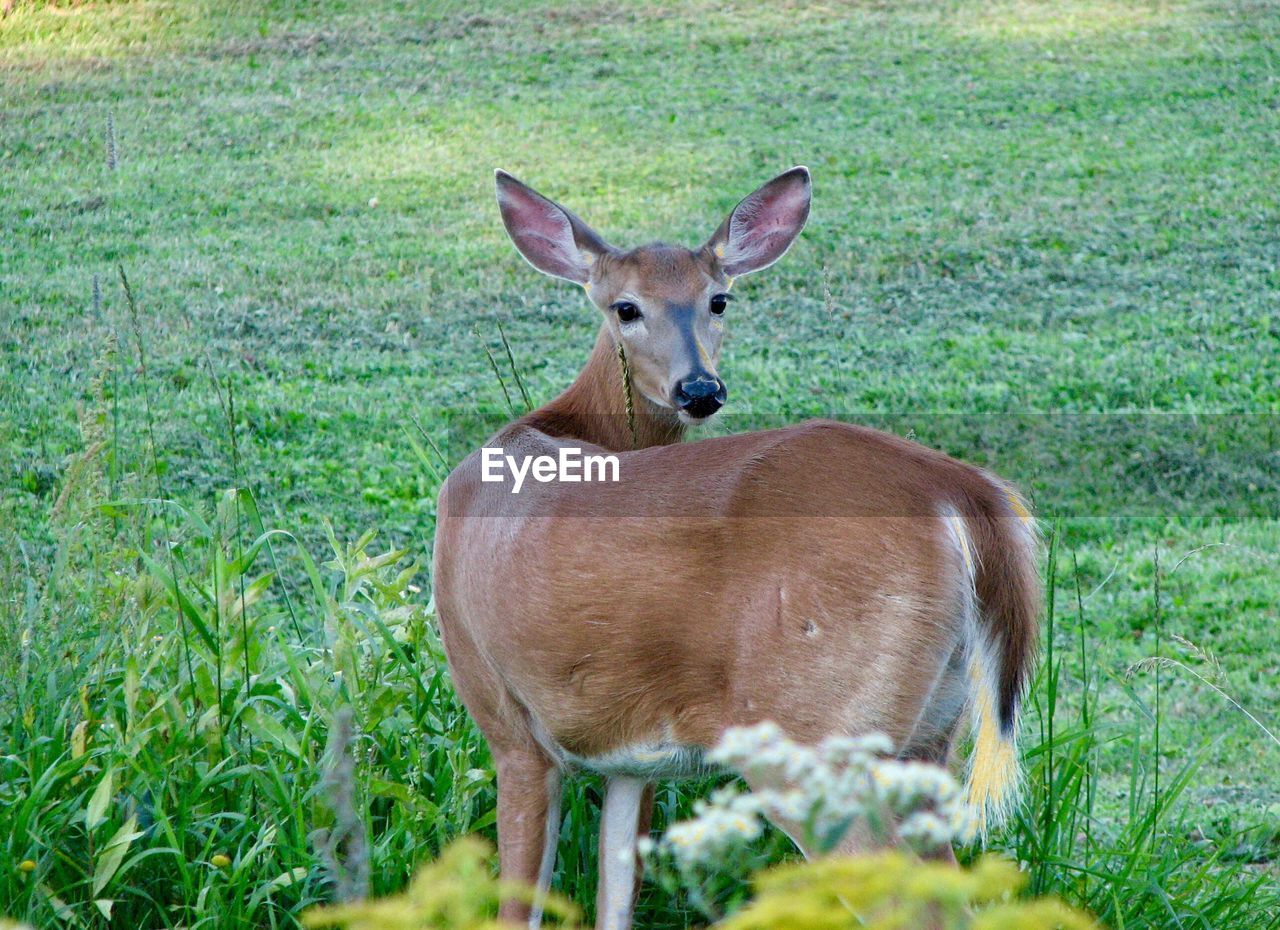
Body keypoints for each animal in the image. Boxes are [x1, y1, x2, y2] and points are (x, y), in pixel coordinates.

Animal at [430, 168, 1039, 930]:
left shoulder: (506, 718)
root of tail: (956, 488)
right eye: (626, 307)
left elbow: (519, 905)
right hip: (931, 730)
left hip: (815, 733)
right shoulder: (630, 756)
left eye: (718, 299)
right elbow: (615, 896)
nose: (700, 388)